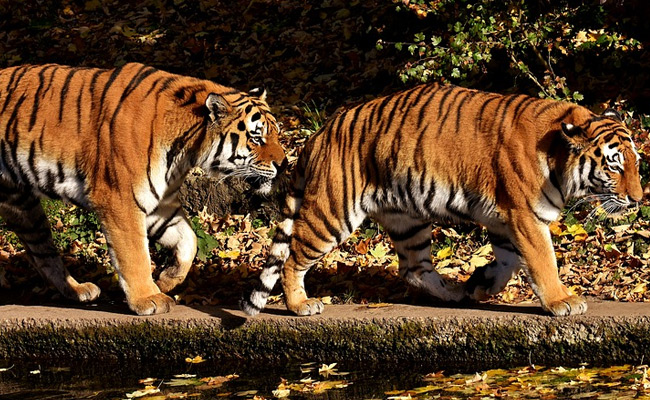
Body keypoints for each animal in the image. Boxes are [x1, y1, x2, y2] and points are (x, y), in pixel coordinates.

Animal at [0, 62, 286, 315]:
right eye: (256, 137)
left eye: (276, 133)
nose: (284, 164)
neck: (185, 150)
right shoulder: (119, 199)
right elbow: (134, 255)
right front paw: (148, 299)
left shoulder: (161, 203)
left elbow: (189, 241)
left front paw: (167, 280)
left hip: (23, 208)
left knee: (42, 253)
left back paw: (78, 290)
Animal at [241, 83, 643, 317]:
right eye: (615, 166)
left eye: (636, 163)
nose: (639, 199)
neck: (558, 153)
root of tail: (319, 133)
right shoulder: (525, 216)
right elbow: (543, 261)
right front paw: (561, 301)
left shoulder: (505, 219)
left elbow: (510, 261)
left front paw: (482, 284)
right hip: (333, 213)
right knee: (293, 257)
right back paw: (300, 305)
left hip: (408, 221)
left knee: (414, 269)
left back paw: (453, 293)